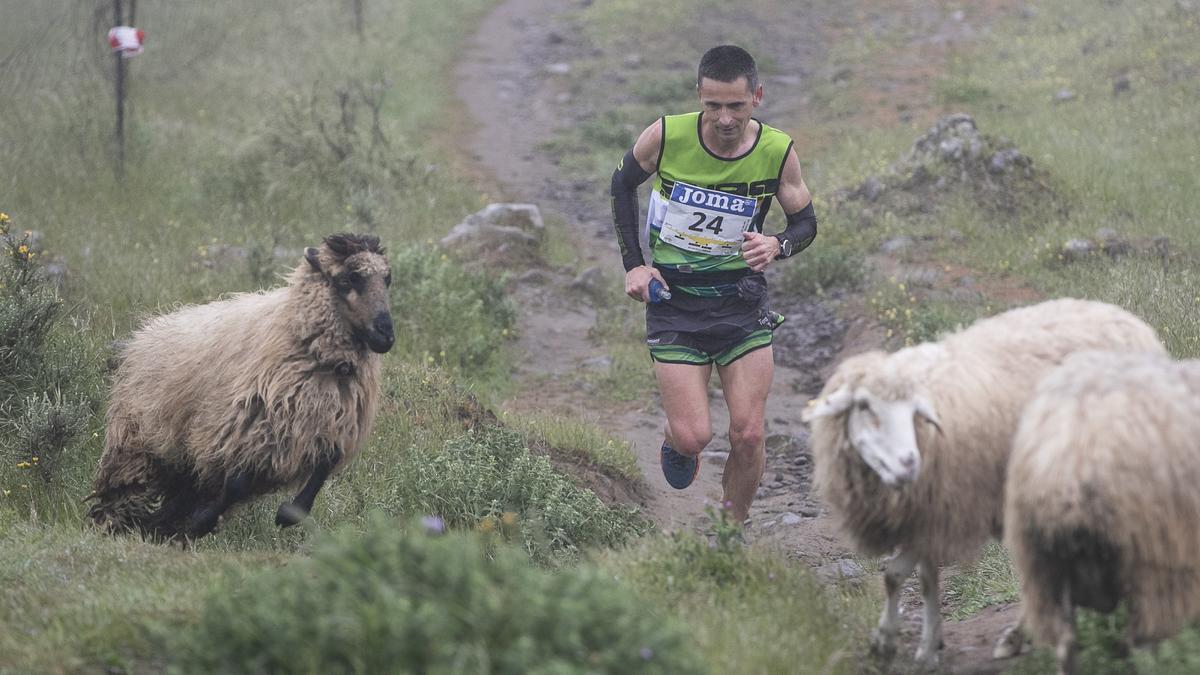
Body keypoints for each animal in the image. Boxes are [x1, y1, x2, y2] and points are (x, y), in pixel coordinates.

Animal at [87, 234, 393, 538]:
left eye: (387, 279)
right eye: (349, 278)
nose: (386, 335)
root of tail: (146, 330)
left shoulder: (329, 429)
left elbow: (319, 474)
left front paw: (287, 514)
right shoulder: (246, 428)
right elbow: (237, 484)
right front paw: (201, 522)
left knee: (184, 491)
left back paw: (161, 527)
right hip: (138, 442)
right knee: (126, 486)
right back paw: (113, 521)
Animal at [801, 297, 1166, 667]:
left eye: (914, 412)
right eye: (863, 405)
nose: (909, 464)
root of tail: (1124, 317)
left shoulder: (946, 513)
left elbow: (894, 574)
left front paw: (890, 643)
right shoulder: (929, 513)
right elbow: (923, 579)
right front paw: (928, 643)